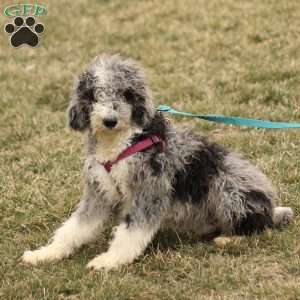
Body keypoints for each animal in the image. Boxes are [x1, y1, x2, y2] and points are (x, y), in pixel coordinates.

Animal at [22, 54, 294, 270]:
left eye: (127, 94)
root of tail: (271, 208)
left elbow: (131, 233)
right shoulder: (98, 194)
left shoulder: (150, 191)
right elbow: (74, 228)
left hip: (226, 185)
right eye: (91, 95)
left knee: (260, 229)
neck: (121, 144)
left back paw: (230, 239)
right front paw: (44, 254)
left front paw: (108, 261)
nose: (110, 120)